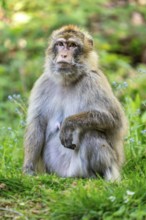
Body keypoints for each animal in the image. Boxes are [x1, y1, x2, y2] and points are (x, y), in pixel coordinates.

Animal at [22, 24, 126, 181]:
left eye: (72, 45)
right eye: (60, 44)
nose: (64, 55)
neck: (67, 81)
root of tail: (68, 175)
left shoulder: (93, 81)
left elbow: (114, 119)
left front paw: (69, 123)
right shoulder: (43, 83)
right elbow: (37, 124)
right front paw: (28, 169)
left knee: (91, 134)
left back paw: (98, 176)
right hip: (54, 169)